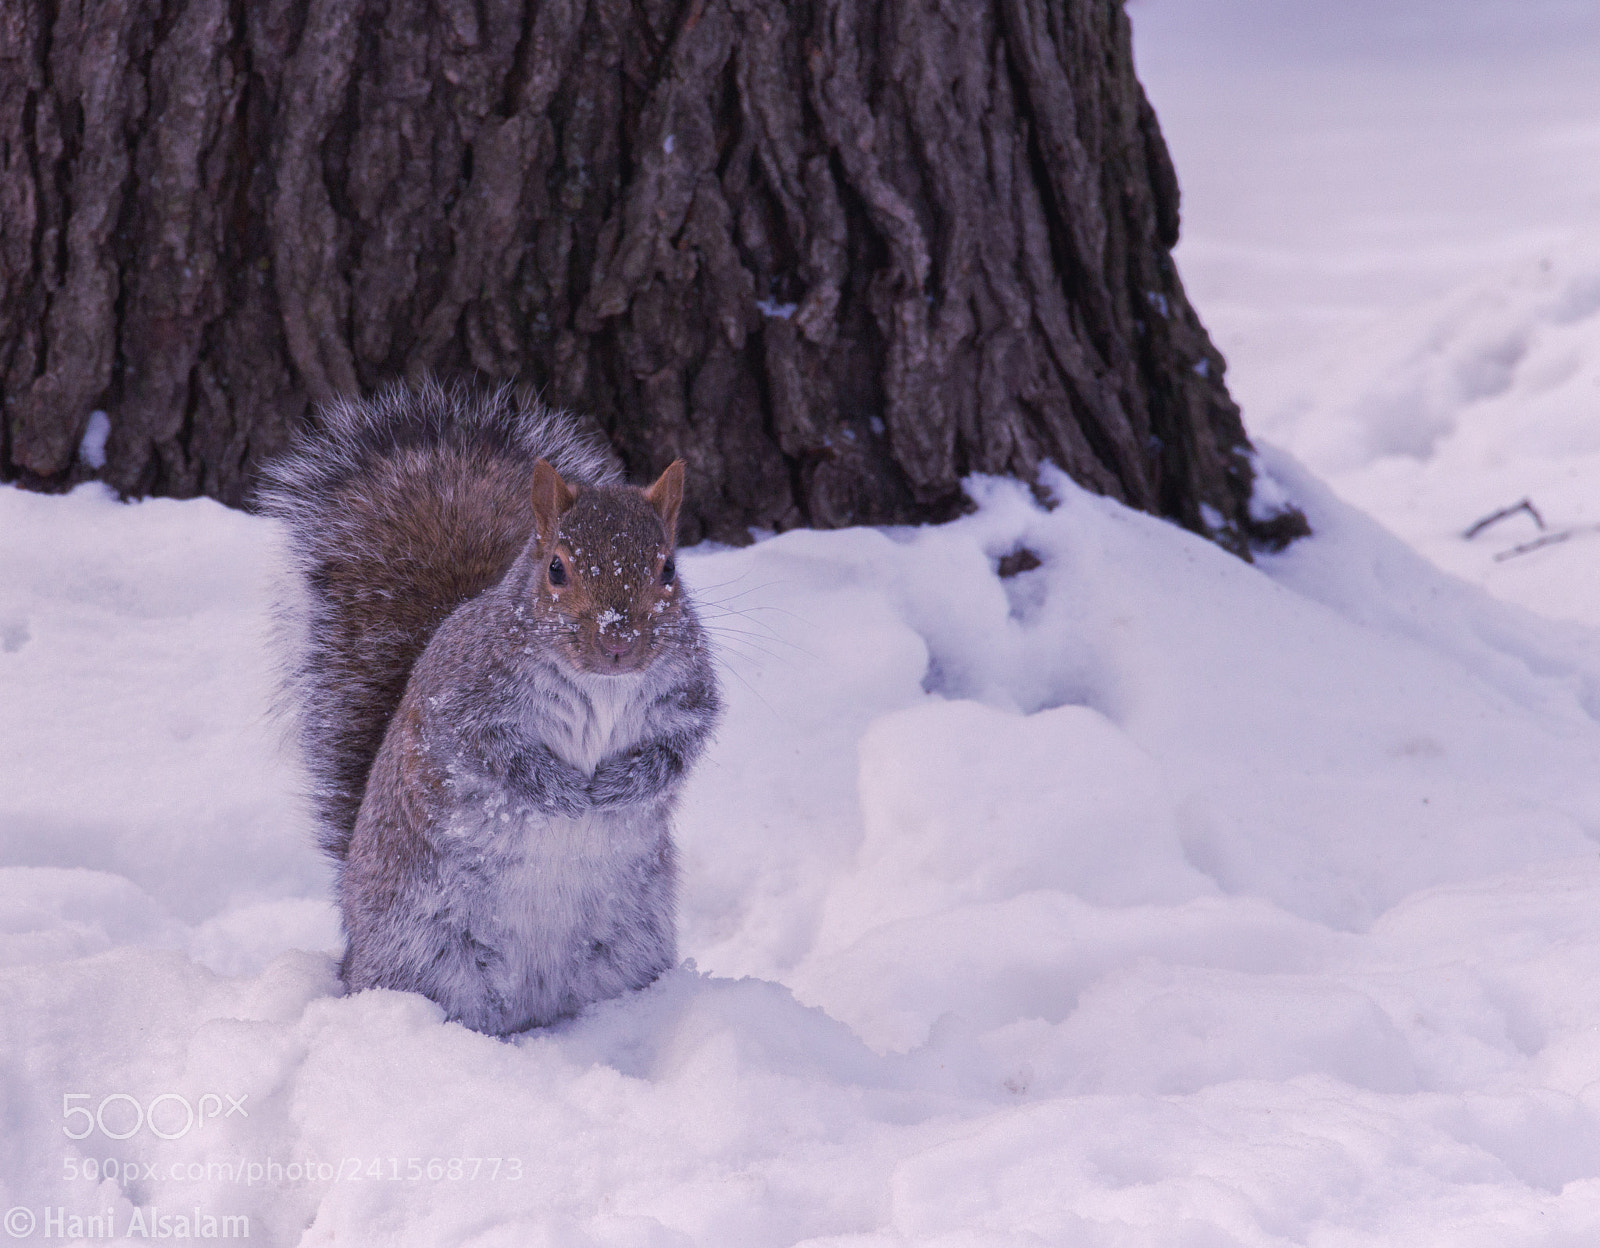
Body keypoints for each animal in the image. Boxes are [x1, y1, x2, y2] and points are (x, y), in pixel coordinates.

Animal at [260, 380, 721, 1035]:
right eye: (556, 568)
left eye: (669, 570)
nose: (617, 641)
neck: (602, 686)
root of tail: (531, 1012)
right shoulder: (467, 702)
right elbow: (501, 758)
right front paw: (565, 793)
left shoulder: (688, 697)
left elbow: (676, 751)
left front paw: (619, 787)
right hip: (420, 951)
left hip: (628, 950)